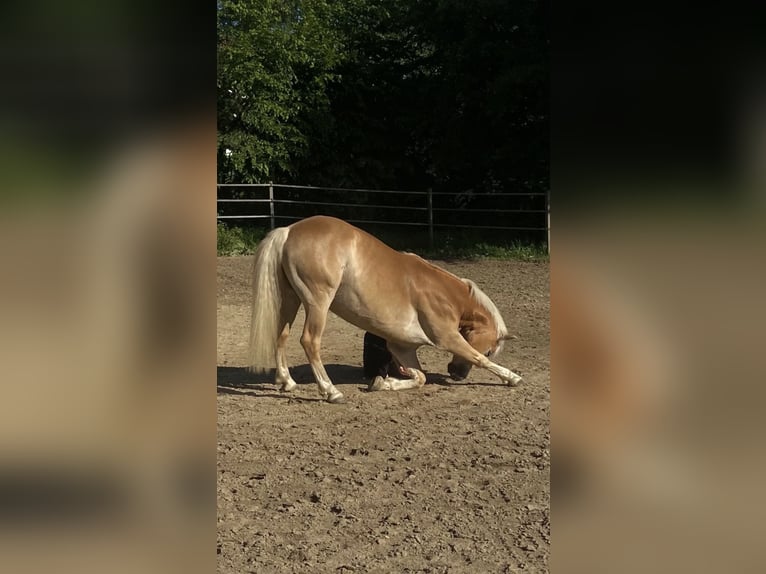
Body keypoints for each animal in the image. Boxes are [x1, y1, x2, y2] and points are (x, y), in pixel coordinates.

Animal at [248, 215, 522, 403]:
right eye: (490, 349)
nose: (456, 375)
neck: (444, 294)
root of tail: (289, 231)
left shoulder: (402, 347)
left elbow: (420, 378)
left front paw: (383, 383)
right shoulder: (447, 338)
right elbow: (476, 358)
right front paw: (512, 378)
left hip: (291, 300)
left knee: (281, 335)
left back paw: (287, 382)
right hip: (318, 303)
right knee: (309, 341)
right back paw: (331, 391)